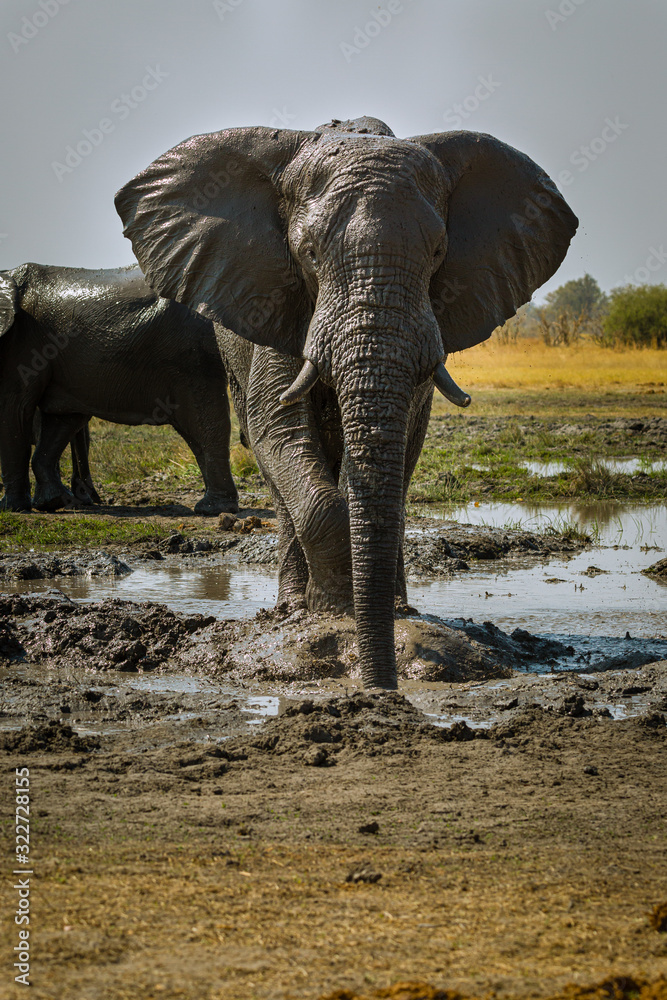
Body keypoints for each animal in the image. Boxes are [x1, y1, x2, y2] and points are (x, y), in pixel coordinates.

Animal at [0, 263, 239, 514]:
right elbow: (59, 418)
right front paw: (49, 503)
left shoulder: (23, 341)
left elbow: (15, 409)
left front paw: (11, 508)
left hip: (192, 356)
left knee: (203, 422)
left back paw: (212, 509)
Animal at [115, 115, 578, 689]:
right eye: (310, 253)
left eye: (438, 253)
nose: (381, 688)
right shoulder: (274, 297)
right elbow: (278, 425)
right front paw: (333, 611)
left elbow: (400, 442)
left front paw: (368, 611)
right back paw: (293, 609)